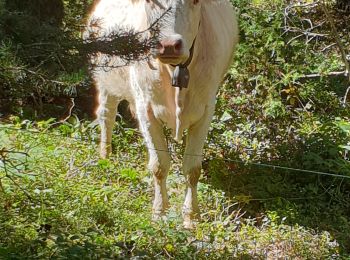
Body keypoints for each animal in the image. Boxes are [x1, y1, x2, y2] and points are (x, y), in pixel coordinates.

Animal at [85, 0, 238, 228]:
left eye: (195, 2)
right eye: (150, 2)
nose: (168, 45)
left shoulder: (206, 110)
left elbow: (193, 169)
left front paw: (191, 217)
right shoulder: (145, 109)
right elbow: (159, 165)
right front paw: (159, 213)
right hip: (105, 80)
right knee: (106, 115)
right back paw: (105, 156)